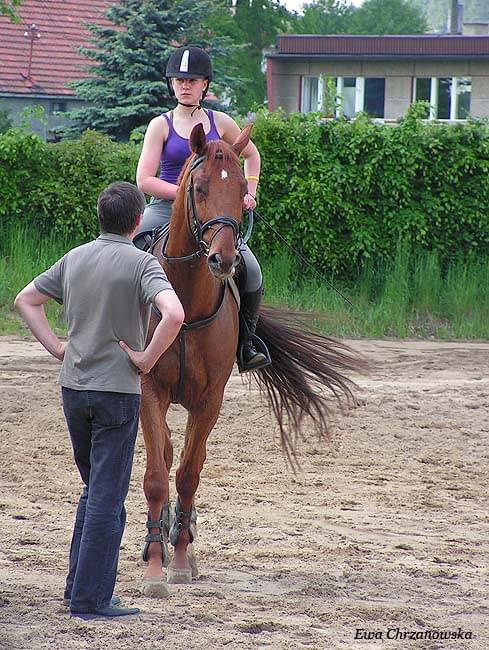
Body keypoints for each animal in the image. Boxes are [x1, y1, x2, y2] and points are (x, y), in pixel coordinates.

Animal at [137, 121, 366, 592]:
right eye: (200, 188)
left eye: (243, 188)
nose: (223, 260)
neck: (184, 301)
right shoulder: (150, 389)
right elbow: (156, 475)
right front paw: (154, 566)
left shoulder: (210, 401)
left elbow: (188, 474)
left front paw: (181, 561)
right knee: (163, 454)